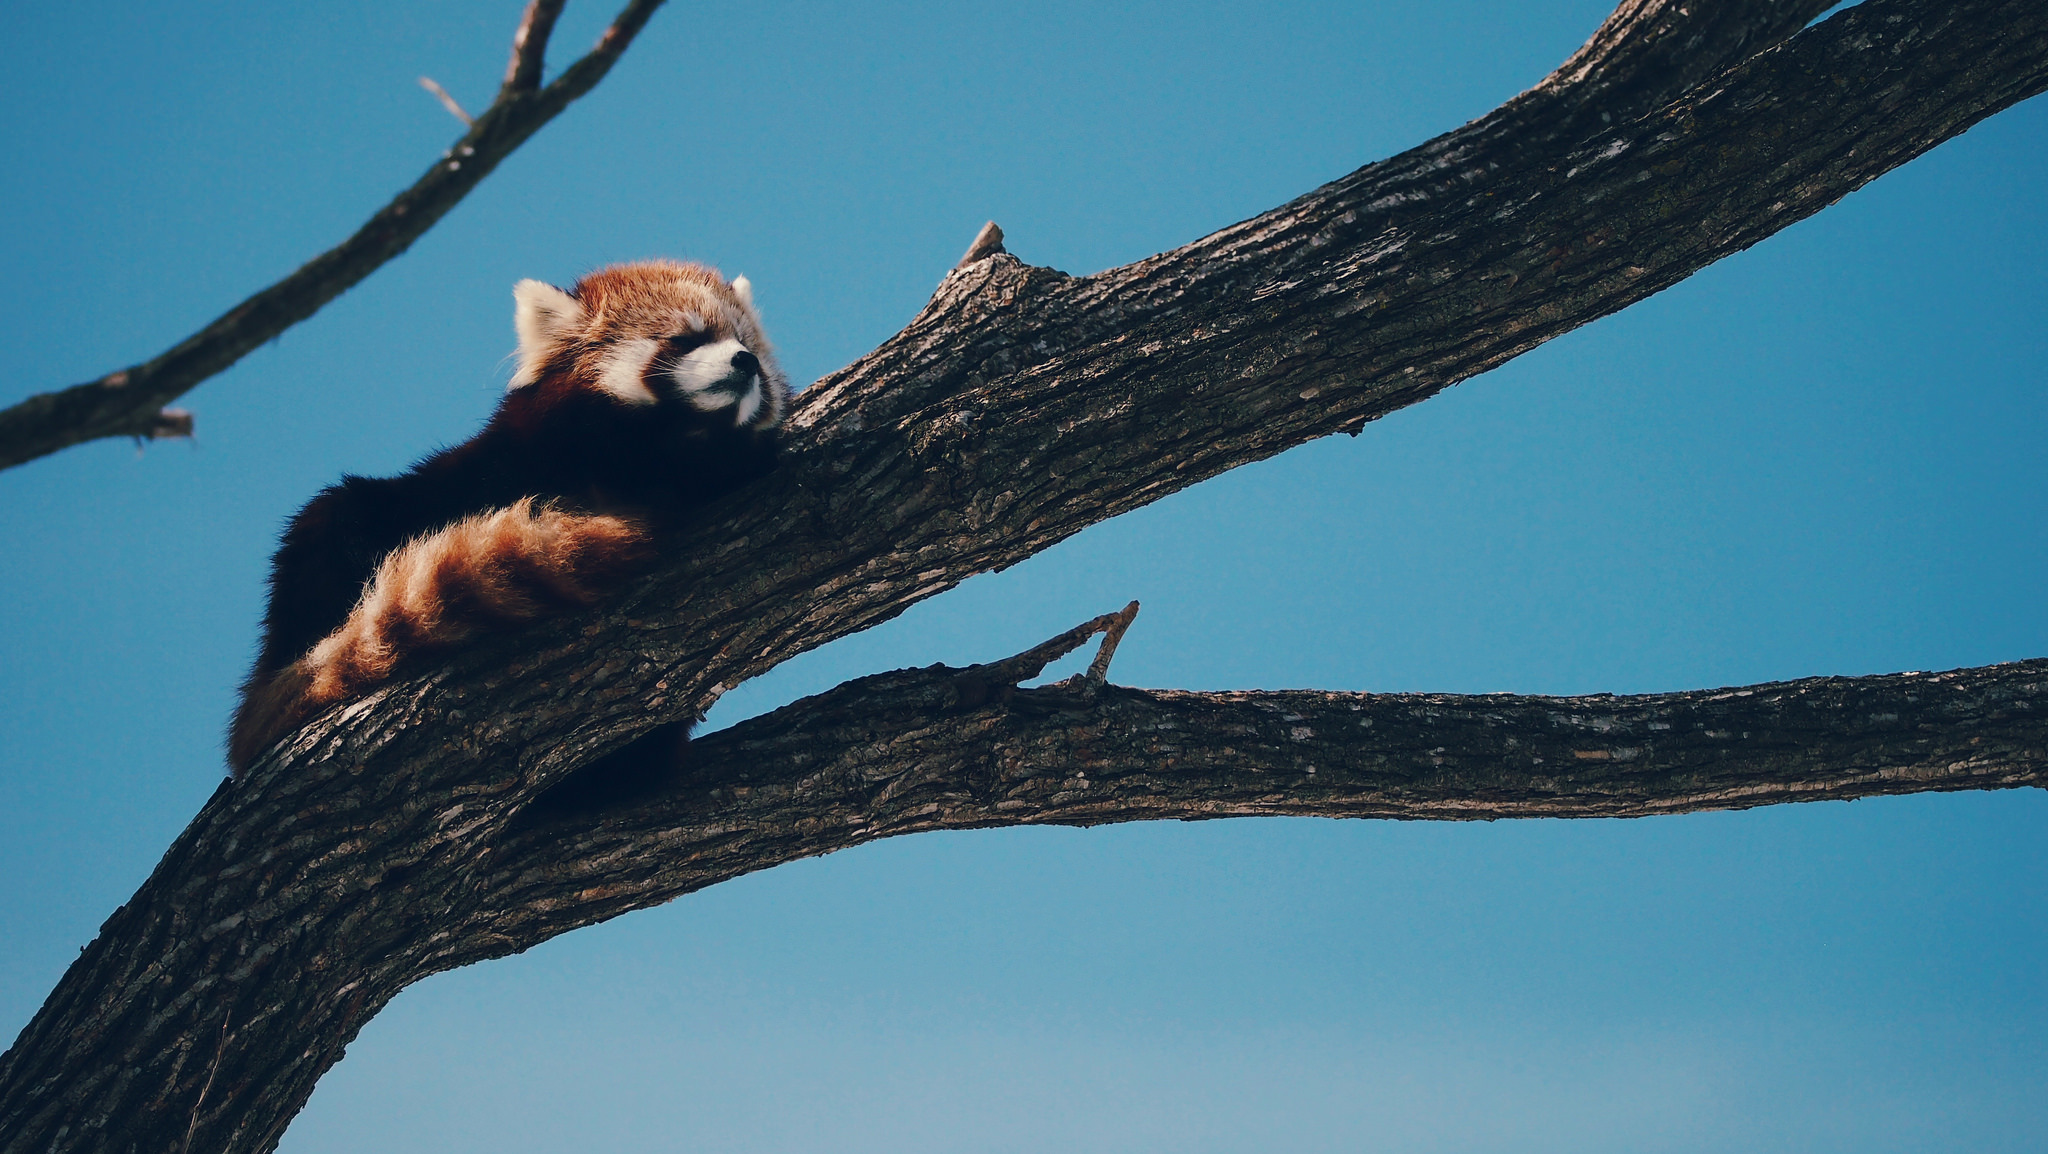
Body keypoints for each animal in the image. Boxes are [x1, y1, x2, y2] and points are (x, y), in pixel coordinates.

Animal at [230, 264, 790, 774]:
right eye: (685, 339)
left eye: (748, 345)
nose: (745, 362)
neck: (645, 458)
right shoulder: (498, 464)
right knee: (331, 521)